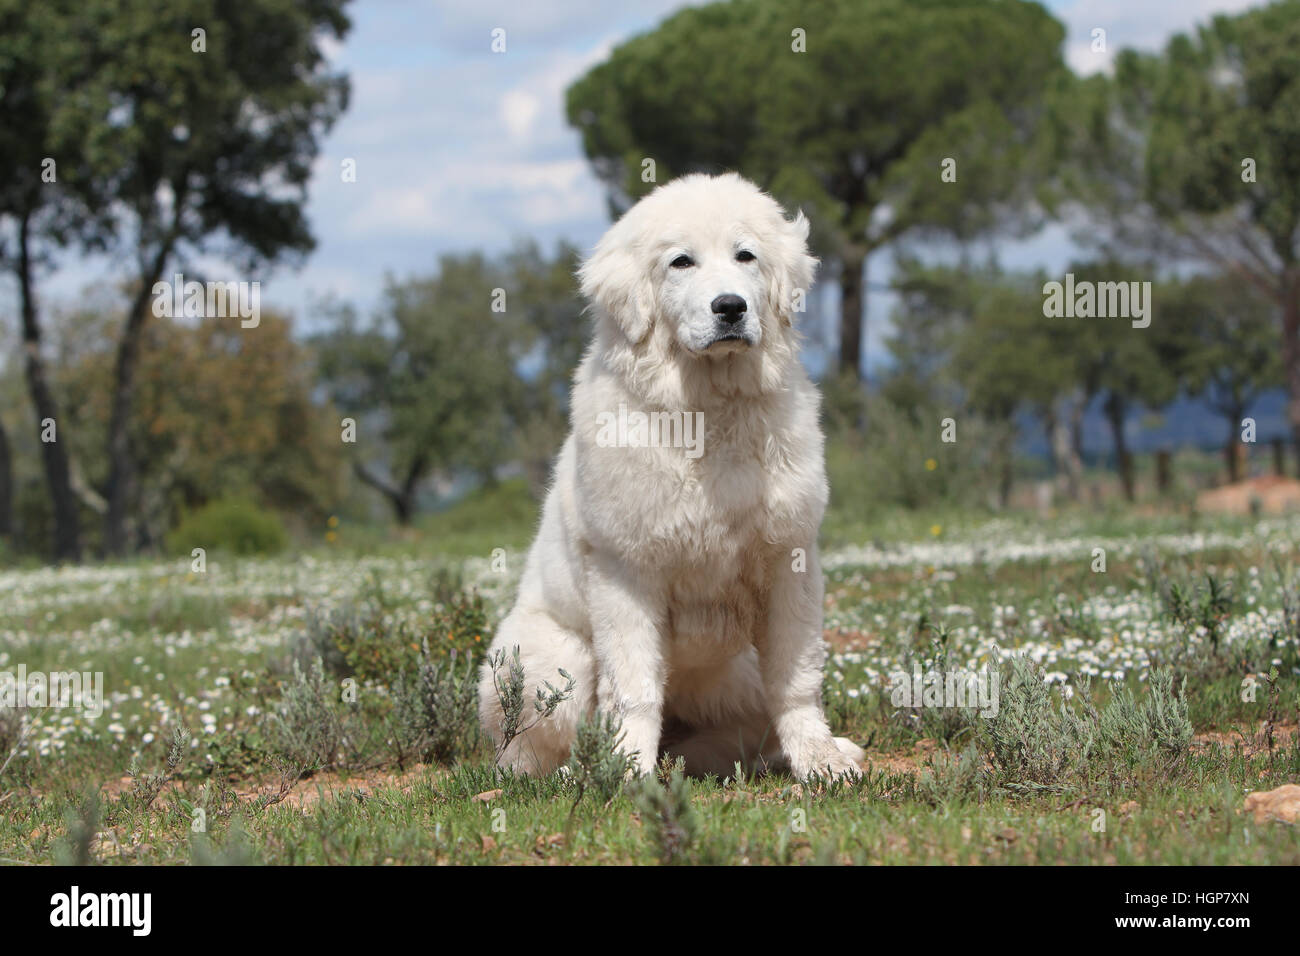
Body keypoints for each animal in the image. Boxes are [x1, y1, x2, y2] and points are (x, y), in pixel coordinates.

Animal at [478, 174, 863, 780]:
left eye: (746, 255)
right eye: (681, 262)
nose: (730, 307)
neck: (708, 412)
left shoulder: (789, 560)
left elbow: (796, 679)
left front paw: (820, 758)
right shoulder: (625, 572)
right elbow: (634, 689)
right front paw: (626, 770)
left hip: (736, 675)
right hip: (546, 662)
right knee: (532, 750)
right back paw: (574, 771)